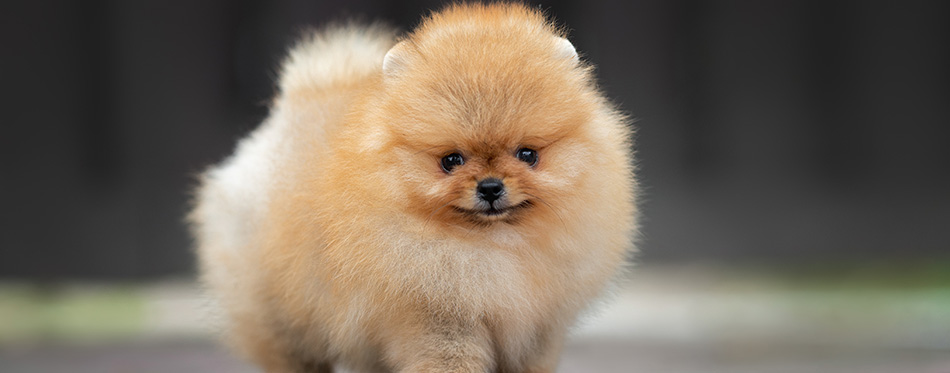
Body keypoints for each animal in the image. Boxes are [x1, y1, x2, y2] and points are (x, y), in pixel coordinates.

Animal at [192, 3, 640, 372]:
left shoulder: (538, 328)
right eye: (451, 161)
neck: (496, 247)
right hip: (279, 313)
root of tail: (298, 101)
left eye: (528, 154)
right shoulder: (438, 320)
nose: (490, 187)